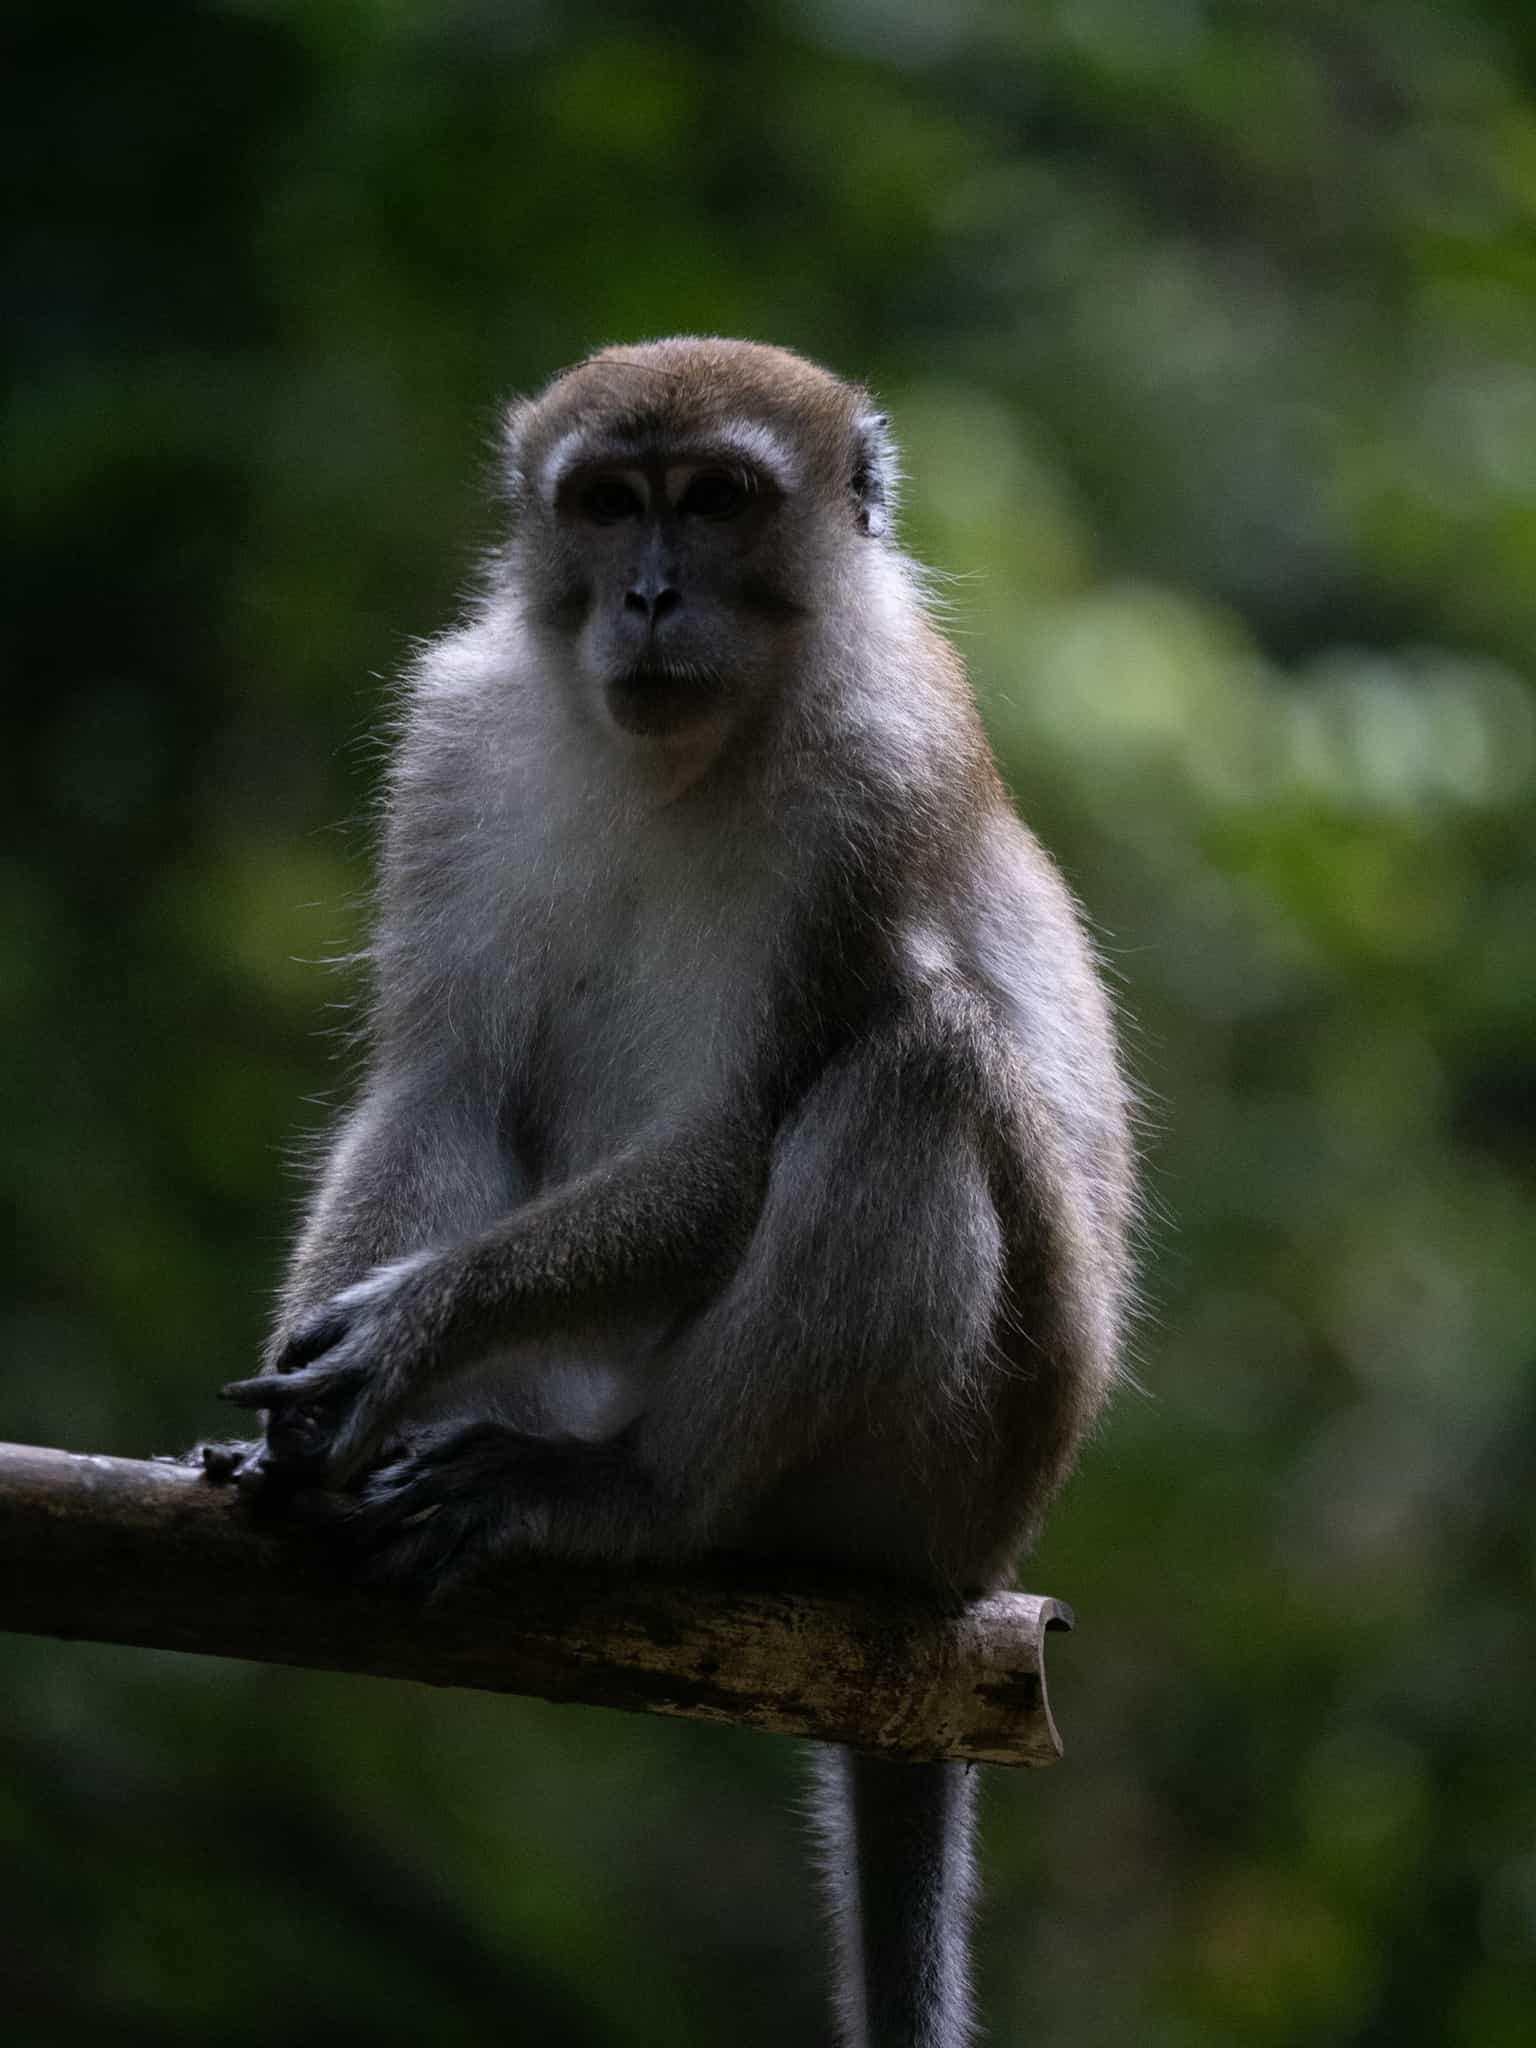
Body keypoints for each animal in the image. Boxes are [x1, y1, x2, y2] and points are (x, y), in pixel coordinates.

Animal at [209, 338, 1136, 2048]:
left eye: (713, 501)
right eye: (605, 503)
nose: (646, 596)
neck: (677, 754)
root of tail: (987, 1566)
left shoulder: (882, 777)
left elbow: (738, 1137)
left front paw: (414, 1322)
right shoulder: (457, 745)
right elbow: (444, 1083)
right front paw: (301, 1421)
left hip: (949, 1474)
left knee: (916, 1068)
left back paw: (637, 1499)